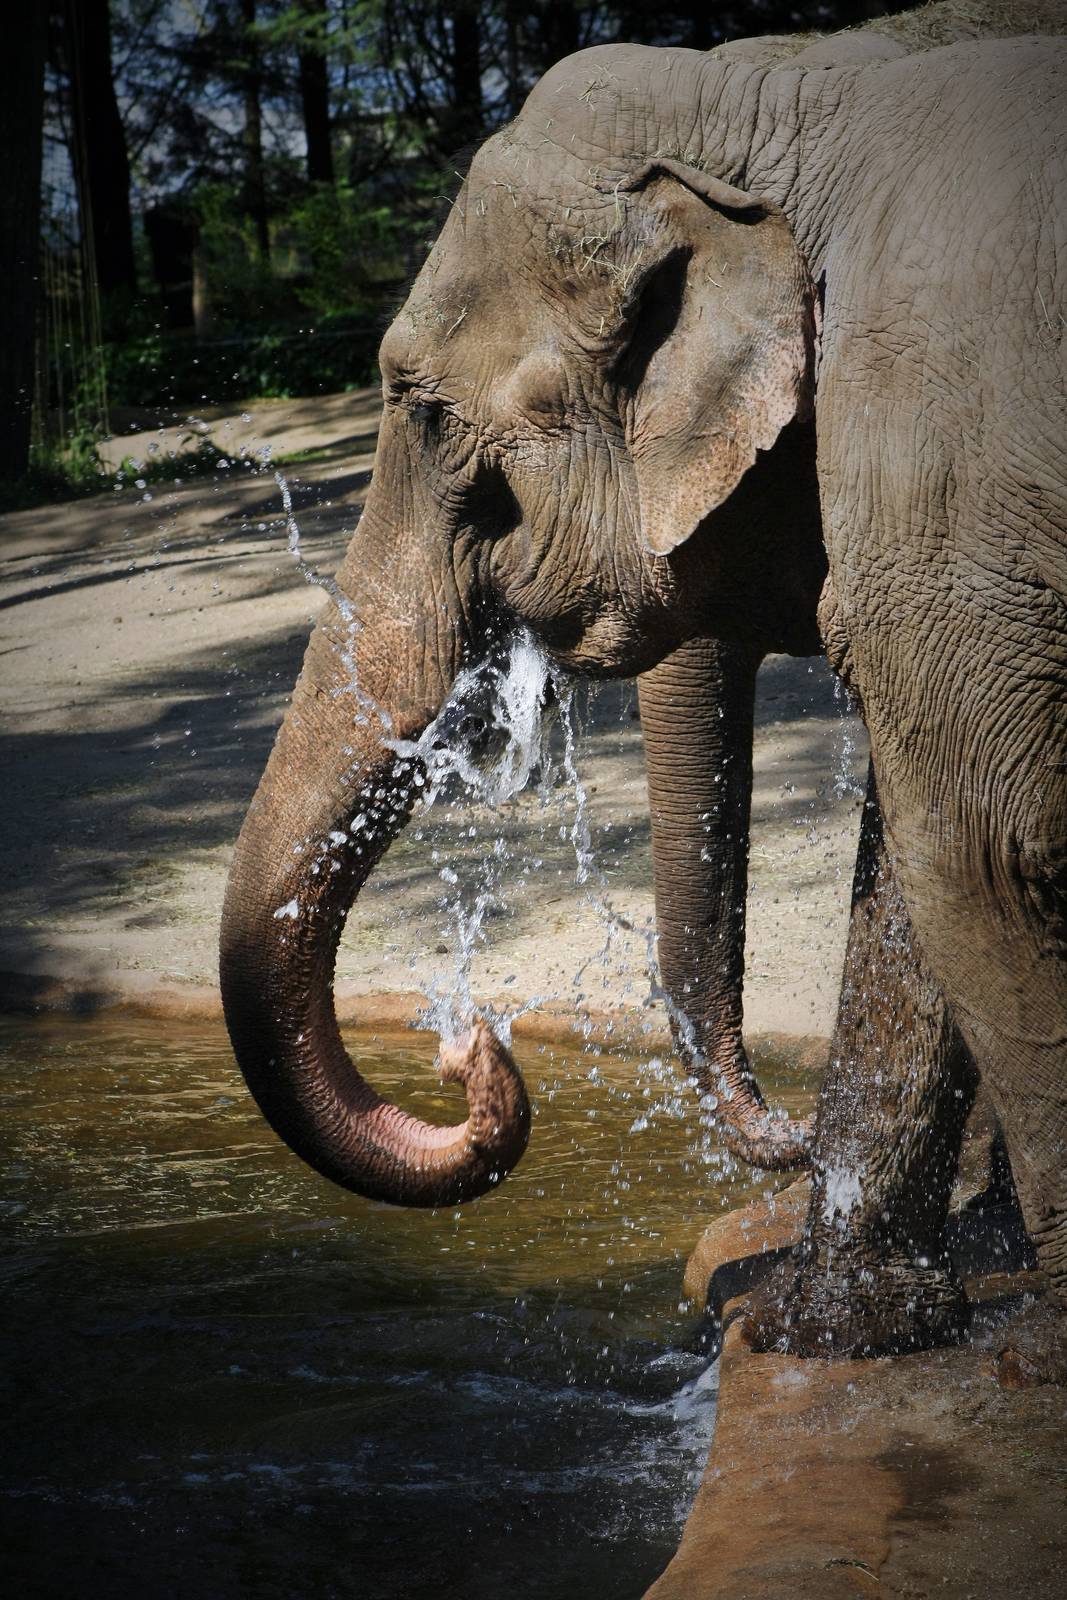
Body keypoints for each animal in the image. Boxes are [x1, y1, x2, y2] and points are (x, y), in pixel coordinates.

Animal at [221, 9, 1067, 1356]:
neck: (794, 84)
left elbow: (982, 853)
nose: (471, 1053)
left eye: (424, 412)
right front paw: (819, 1330)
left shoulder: (941, 456)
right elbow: (923, 867)